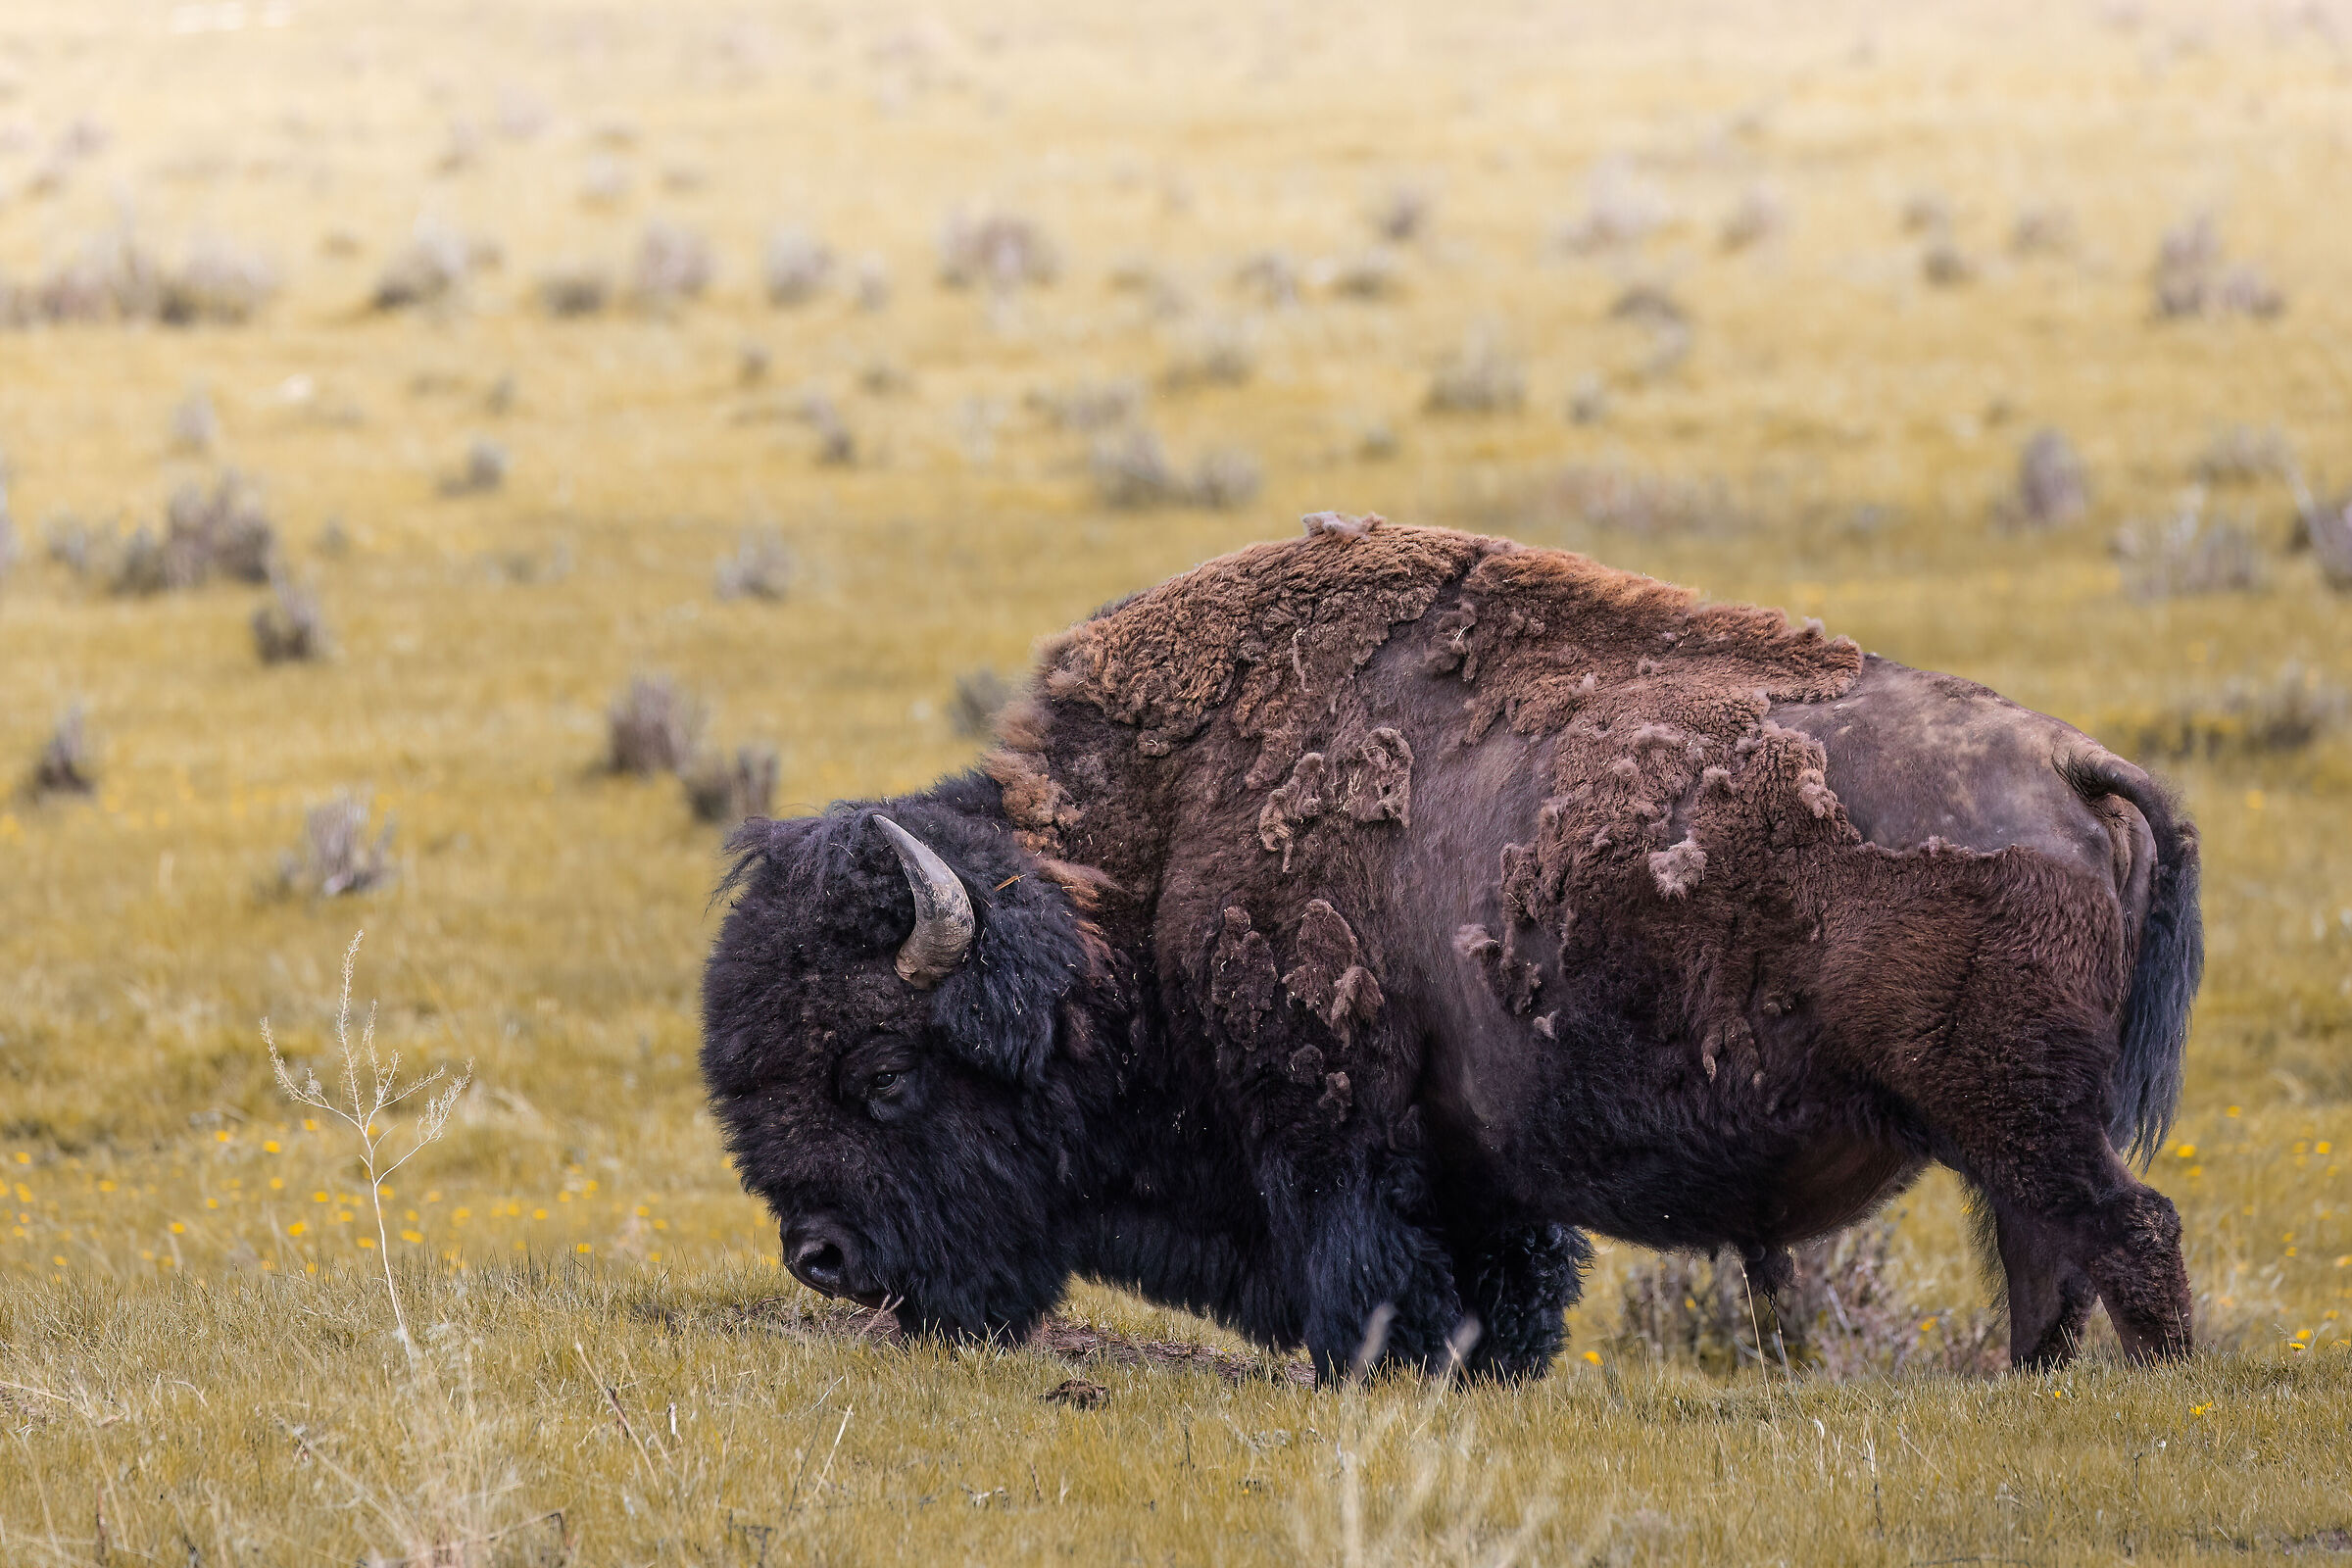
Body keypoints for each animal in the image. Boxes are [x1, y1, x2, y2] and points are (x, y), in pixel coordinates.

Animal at [701, 518, 2200, 1379]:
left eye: (884, 1074)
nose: (819, 1257)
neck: (1140, 876)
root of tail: (2072, 769)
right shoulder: (1475, 1165)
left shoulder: (1332, 1126)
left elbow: (1370, 1261)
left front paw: (1381, 1367)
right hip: (2000, 1125)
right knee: (2049, 1246)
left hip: (2010, 1106)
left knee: (2125, 1227)